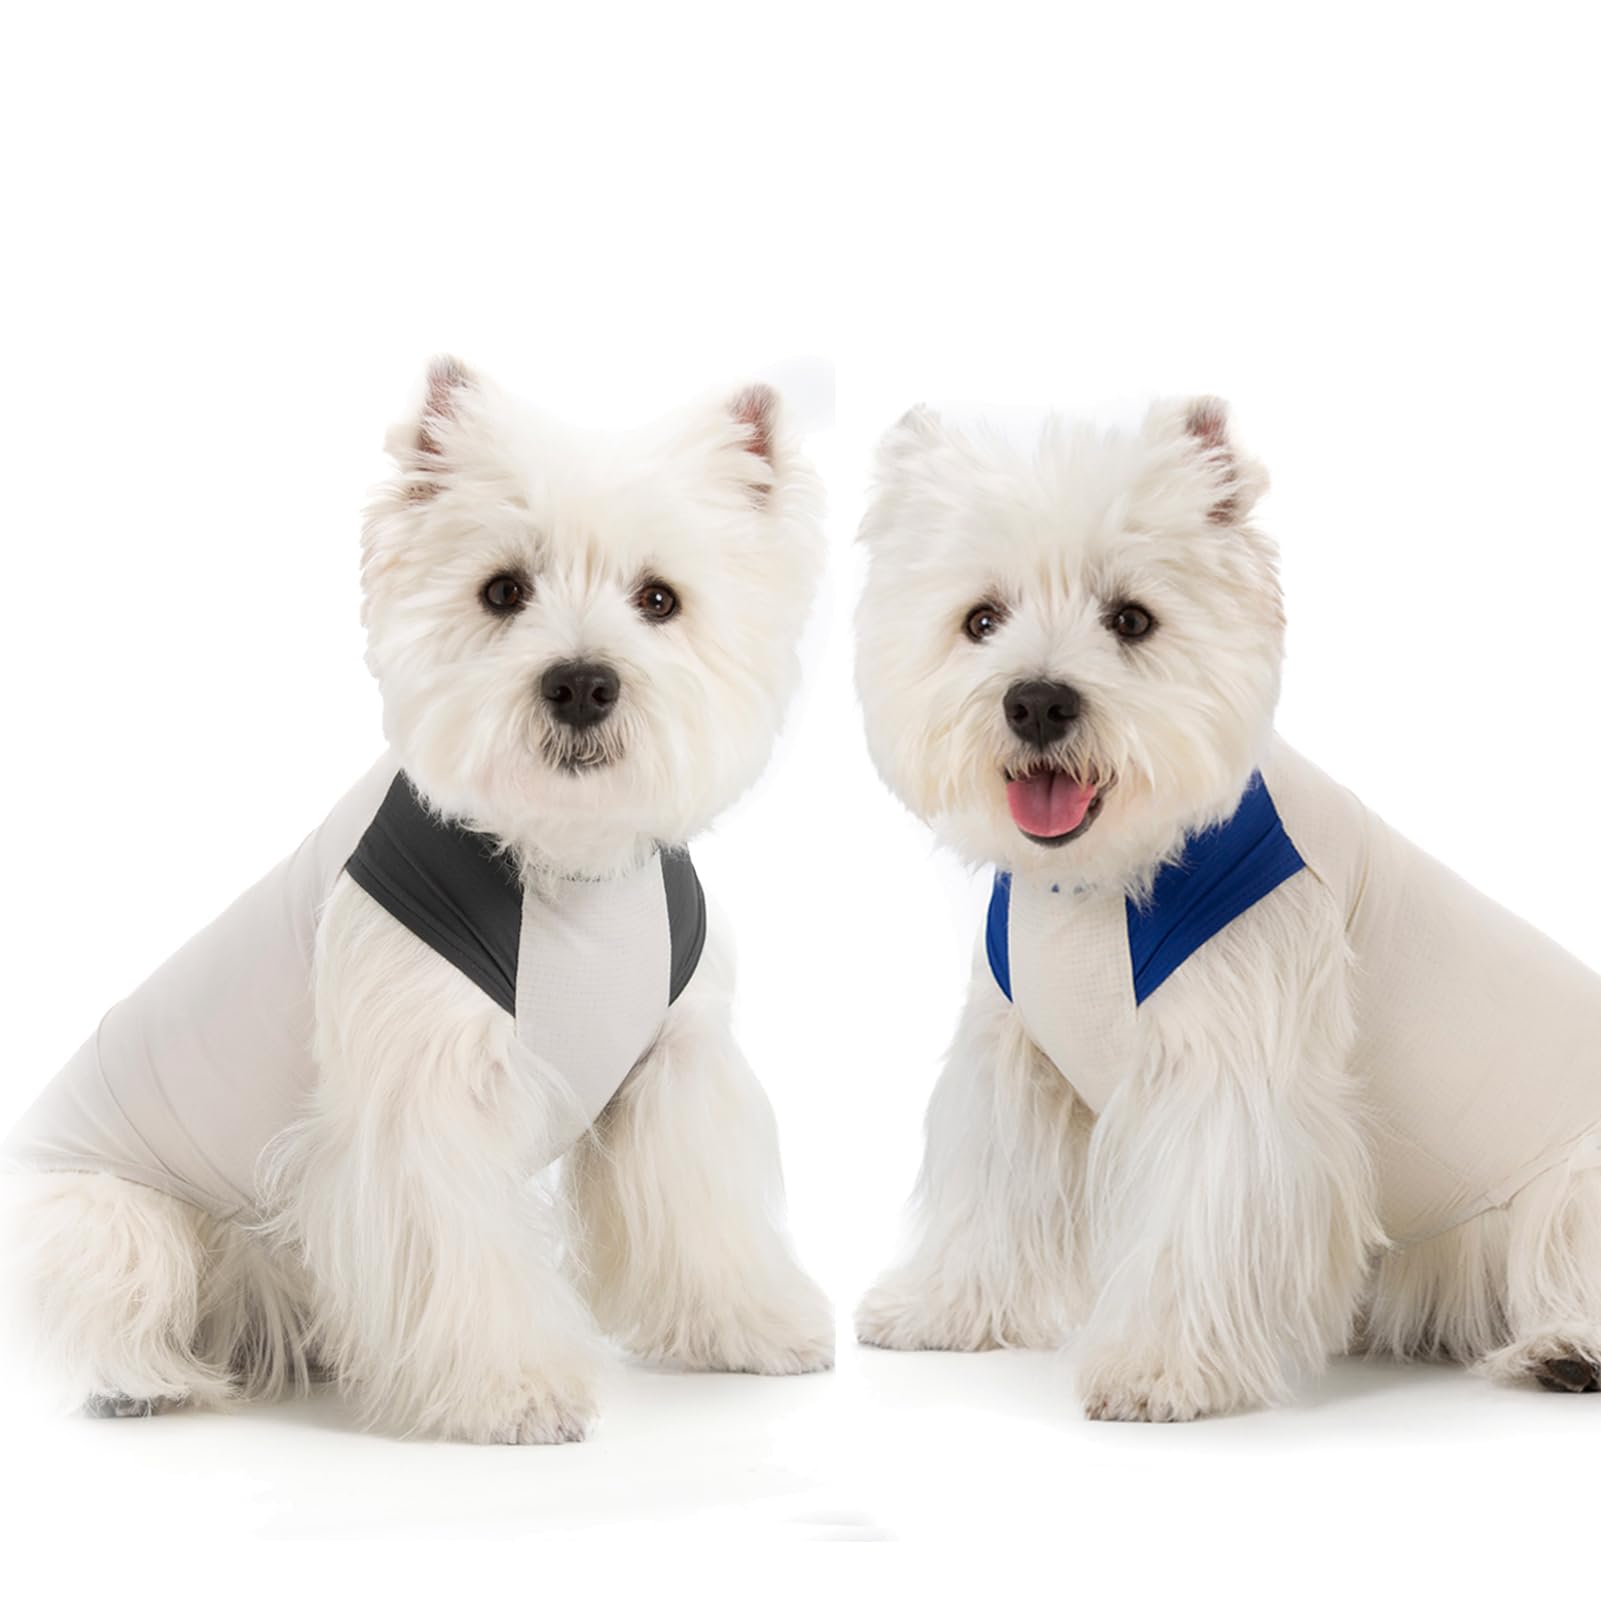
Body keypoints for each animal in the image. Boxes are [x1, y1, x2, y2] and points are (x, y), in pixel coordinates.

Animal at [4, 358, 834, 1441]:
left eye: (660, 597)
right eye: (503, 590)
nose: (580, 683)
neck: (563, 868)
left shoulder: (675, 1069)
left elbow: (705, 1215)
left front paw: (755, 1327)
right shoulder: (424, 1095)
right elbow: (461, 1256)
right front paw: (510, 1390)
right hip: (102, 1209)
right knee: (109, 1286)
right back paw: (146, 1377)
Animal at [853, 397, 1601, 1420]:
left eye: (1131, 619)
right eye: (980, 619)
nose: (1037, 701)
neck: (1101, 881)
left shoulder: (1232, 1064)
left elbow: (1198, 1220)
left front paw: (1158, 1368)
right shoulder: (1015, 1058)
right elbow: (990, 1187)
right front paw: (942, 1307)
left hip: (1569, 1188)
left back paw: (1563, 1347)